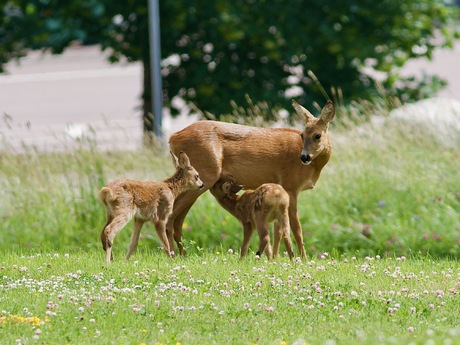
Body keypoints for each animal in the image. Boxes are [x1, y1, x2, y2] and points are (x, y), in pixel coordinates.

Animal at [169, 98, 334, 256]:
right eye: (302, 135)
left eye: (317, 135)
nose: (304, 157)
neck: (314, 167)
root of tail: (172, 137)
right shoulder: (291, 186)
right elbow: (297, 230)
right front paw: (303, 259)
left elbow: (278, 230)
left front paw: (275, 258)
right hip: (206, 173)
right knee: (171, 216)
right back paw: (172, 254)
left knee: (178, 220)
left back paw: (182, 254)